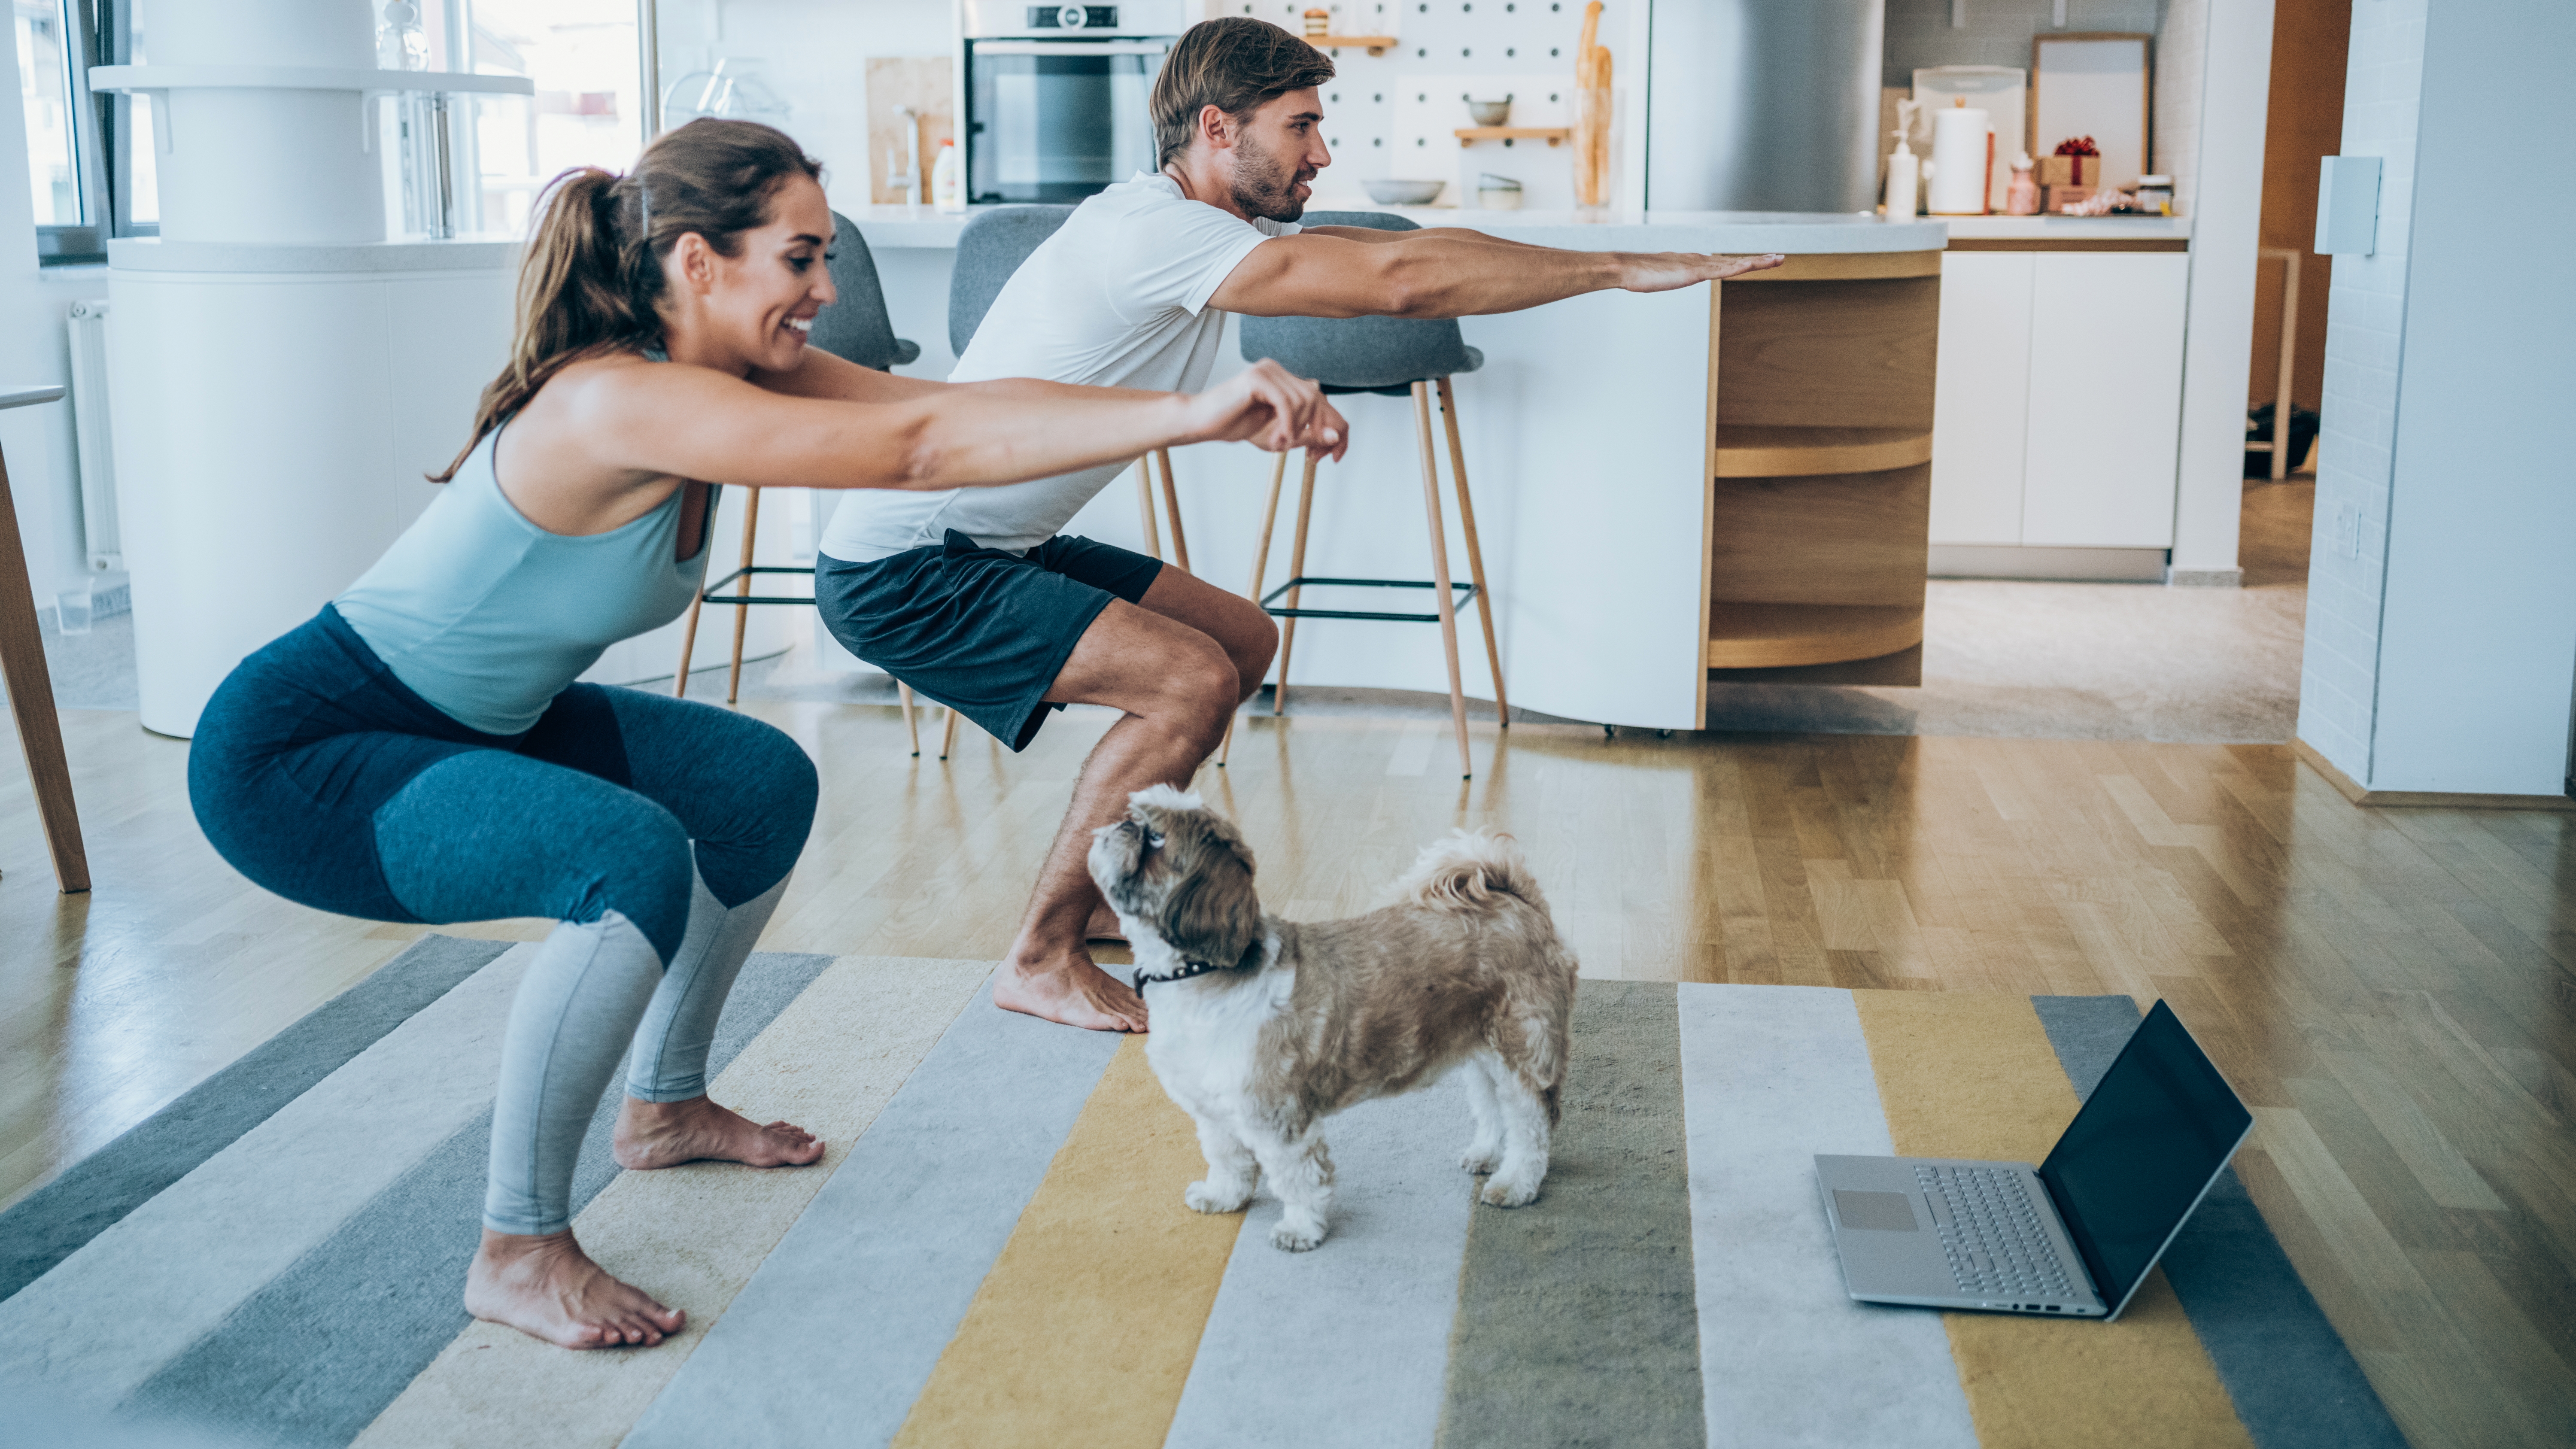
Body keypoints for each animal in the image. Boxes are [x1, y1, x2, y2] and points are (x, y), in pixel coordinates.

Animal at [1082, 784, 1577, 1248]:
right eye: (1135, 818)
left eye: (1157, 837)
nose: (1122, 825)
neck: (1199, 976)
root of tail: (1516, 900)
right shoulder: (1216, 1111)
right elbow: (1229, 1161)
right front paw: (1224, 1197)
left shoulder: (1279, 1116)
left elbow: (1298, 1179)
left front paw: (1301, 1229)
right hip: (1478, 1052)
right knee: (1492, 1107)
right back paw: (1487, 1154)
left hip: (1522, 1050)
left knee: (1531, 1124)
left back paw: (1516, 1183)